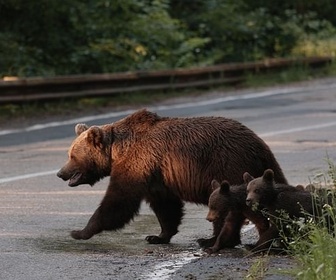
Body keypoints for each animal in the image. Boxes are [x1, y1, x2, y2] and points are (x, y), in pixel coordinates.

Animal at [57, 109, 286, 245]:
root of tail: (260, 144)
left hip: (227, 165)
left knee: (227, 206)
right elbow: (166, 206)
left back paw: (213, 240)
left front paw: (79, 231)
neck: (116, 150)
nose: (60, 173)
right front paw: (157, 236)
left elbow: (118, 201)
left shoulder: (137, 163)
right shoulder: (156, 175)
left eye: (72, 155)